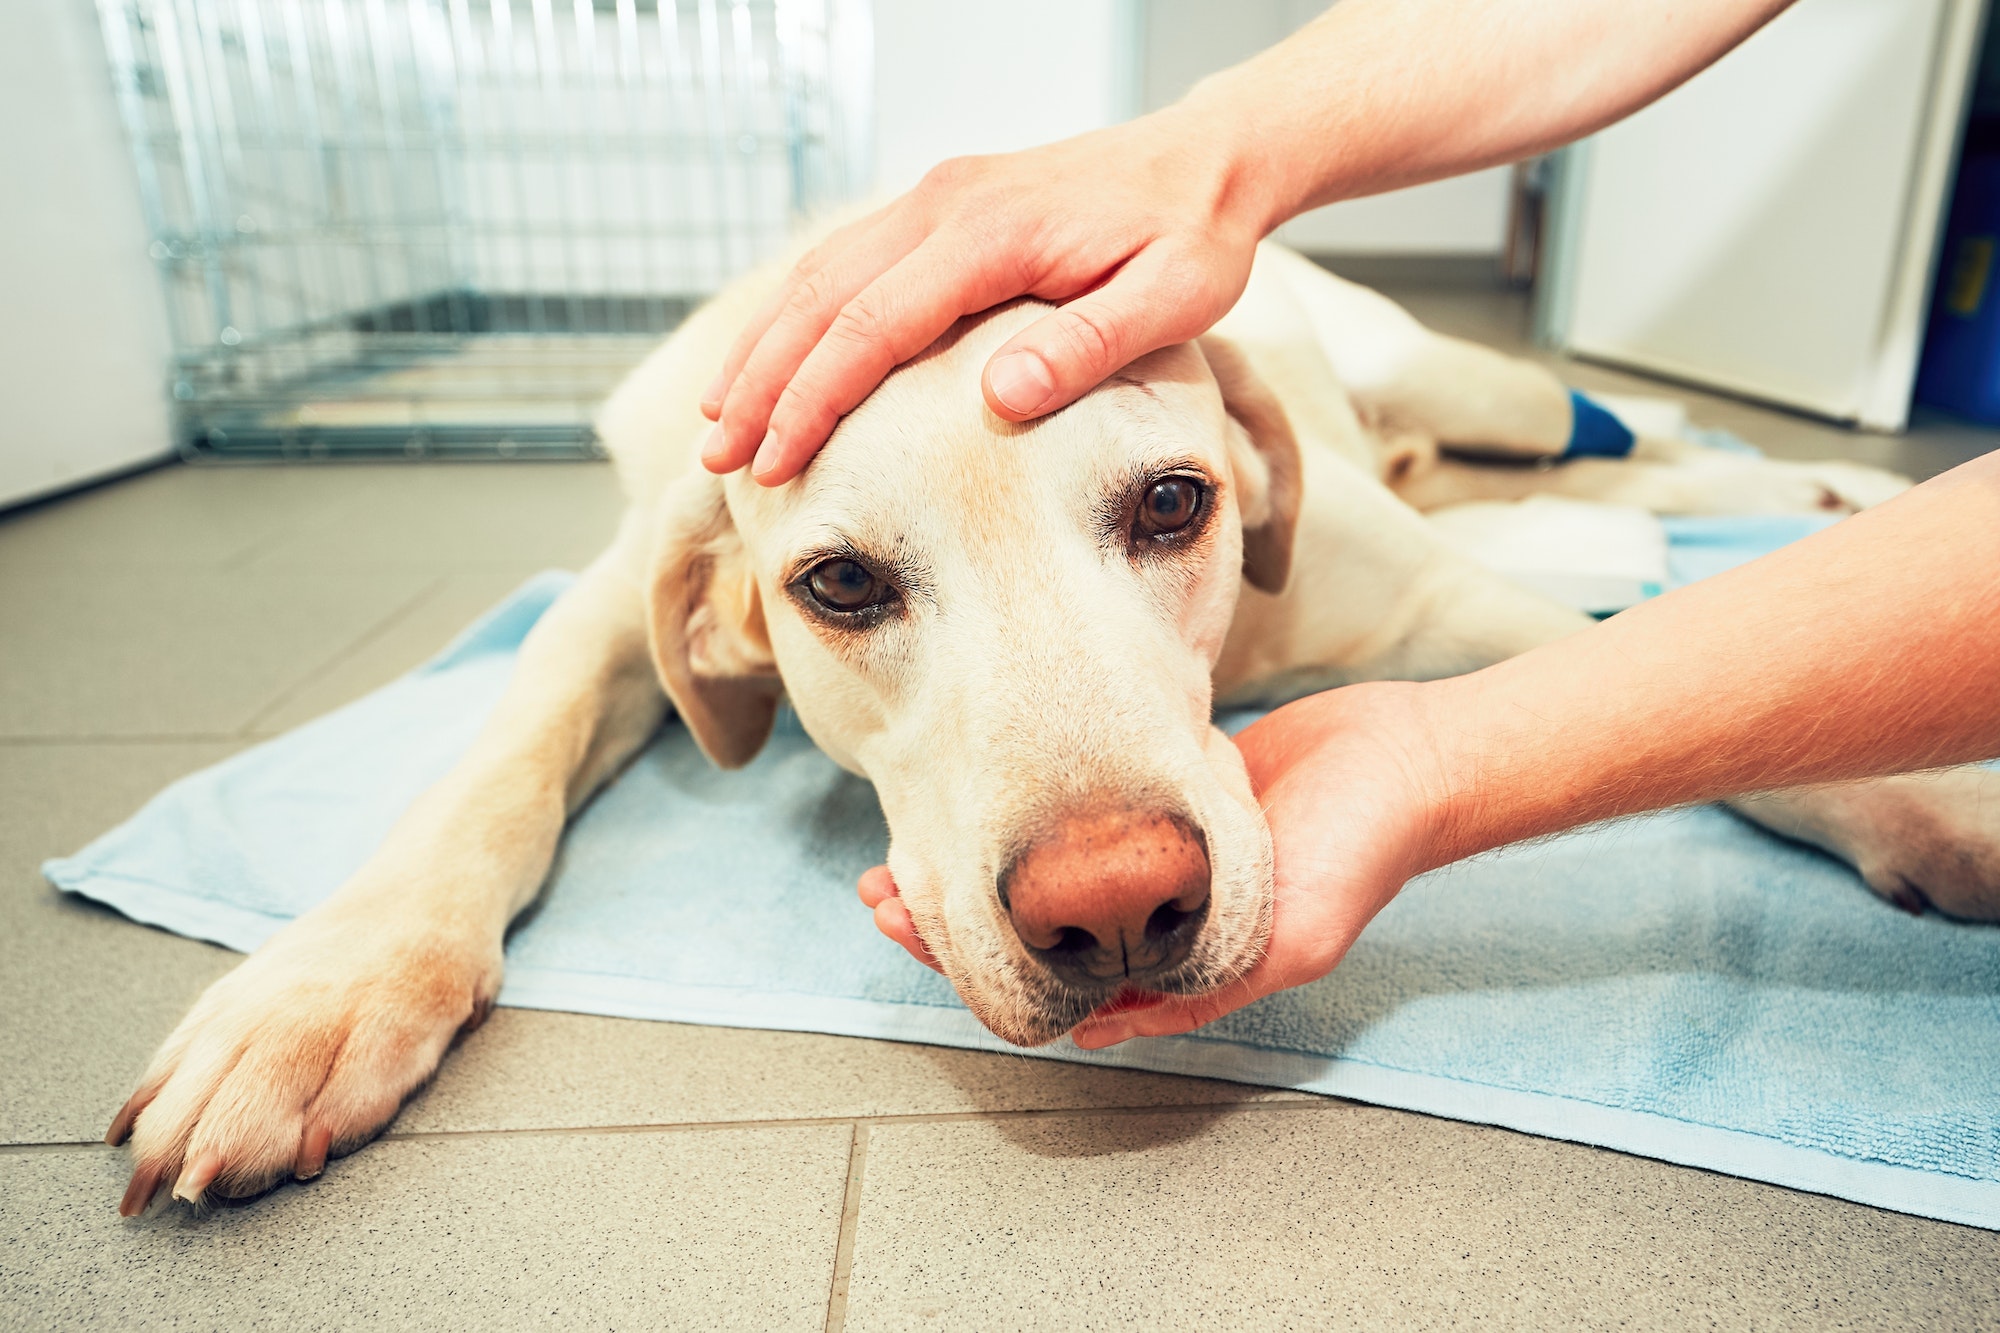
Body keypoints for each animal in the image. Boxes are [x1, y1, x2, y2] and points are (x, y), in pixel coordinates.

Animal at [113, 244, 2000, 1208]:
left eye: (1173, 501)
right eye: (841, 585)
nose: (1118, 907)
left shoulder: (1445, 606)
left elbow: (1719, 676)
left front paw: (1936, 796)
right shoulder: (609, 594)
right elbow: (493, 760)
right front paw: (321, 992)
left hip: (1480, 382)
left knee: (1616, 438)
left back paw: (1811, 480)